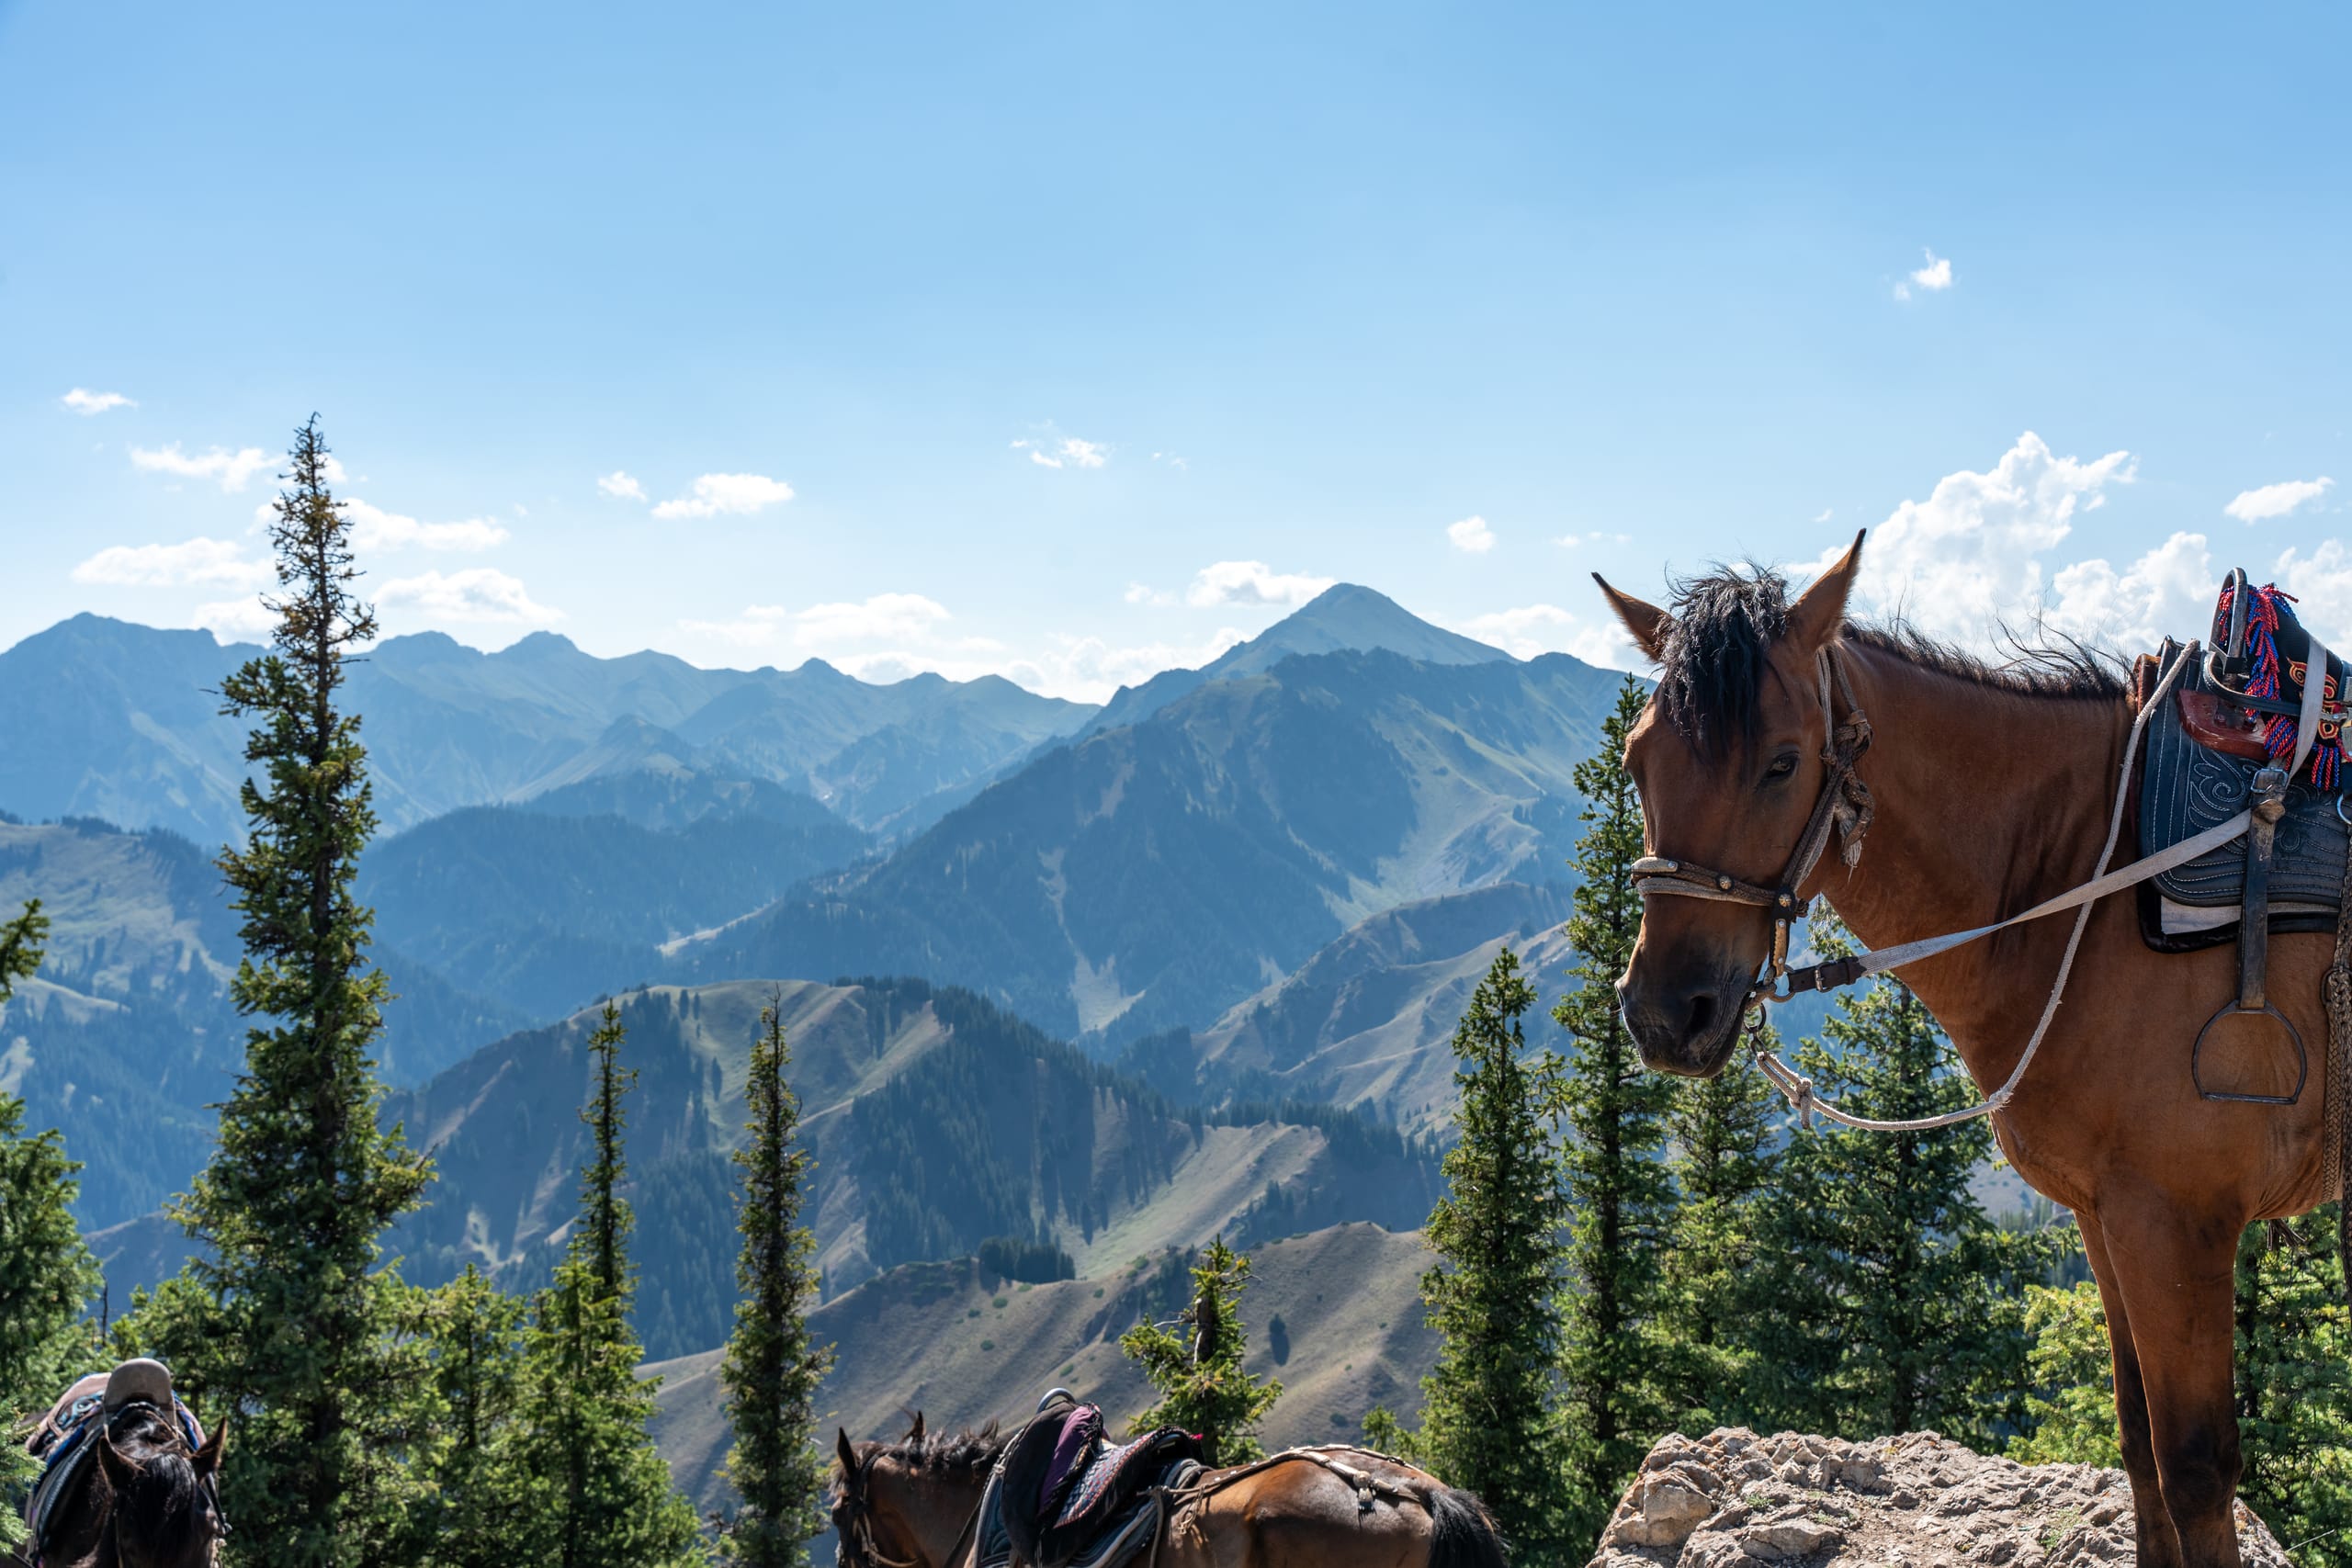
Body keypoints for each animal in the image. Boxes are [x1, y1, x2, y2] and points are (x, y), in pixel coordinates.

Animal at [1593, 532, 2336, 1568]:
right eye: (1636, 761)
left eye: (1781, 763)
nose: (1666, 1013)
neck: (2090, 884)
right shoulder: (2107, 1221)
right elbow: (2138, 1443)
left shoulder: (2179, 1222)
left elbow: (2194, 1470)